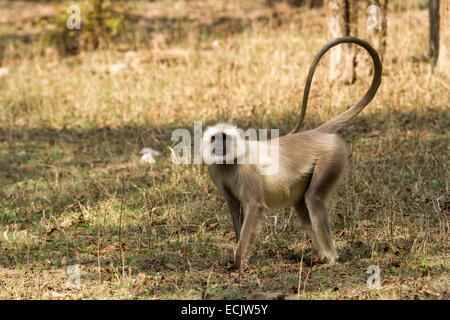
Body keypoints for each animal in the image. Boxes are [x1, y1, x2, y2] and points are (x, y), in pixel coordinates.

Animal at [202, 36, 382, 272]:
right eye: (215, 137)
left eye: (225, 136)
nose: (220, 143)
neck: (228, 162)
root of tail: (315, 133)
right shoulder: (216, 170)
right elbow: (234, 206)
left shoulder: (246, 168)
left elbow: (254, 206)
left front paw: (238, 263)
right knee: (301, 204)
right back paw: (320, 256)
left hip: (331, 157)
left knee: (313, 199)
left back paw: (330, 258)